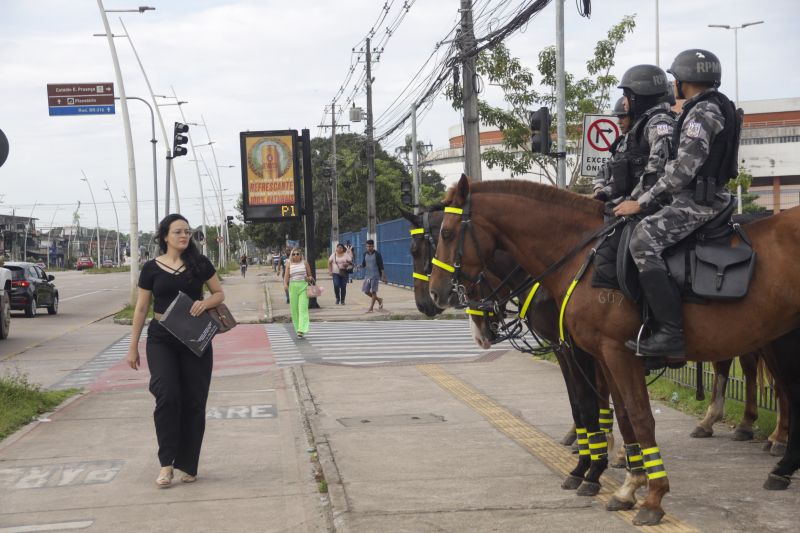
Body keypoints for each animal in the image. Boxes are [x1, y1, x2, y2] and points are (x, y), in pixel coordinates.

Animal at [432, 177, 800, 524]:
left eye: (446, 234)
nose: (435, 295)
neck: (584, 257)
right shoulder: (600, 354)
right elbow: (618, 414)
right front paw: (628, 483)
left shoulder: (608, 353)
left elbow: (631, 414)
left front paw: (648, 494)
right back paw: (781, 465)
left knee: (783, 391)